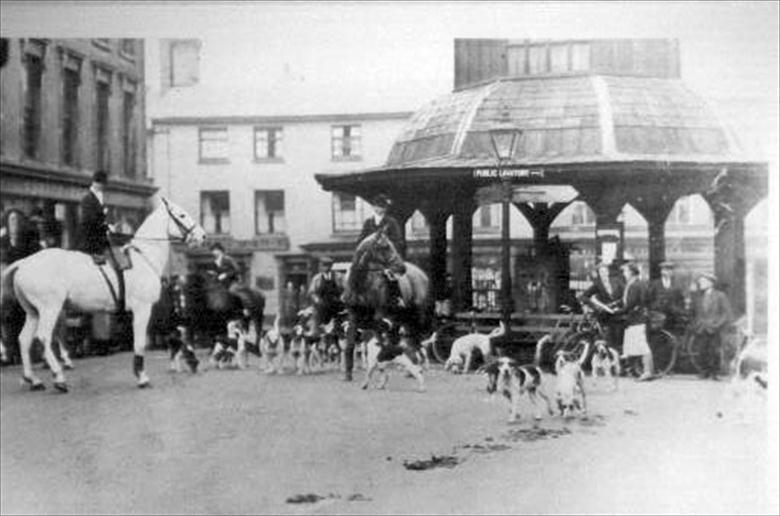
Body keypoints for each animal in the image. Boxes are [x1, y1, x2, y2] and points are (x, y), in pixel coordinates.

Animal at [0, 198, 206, 392]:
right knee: (43, 337)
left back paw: (33, 379)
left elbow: (172, 332)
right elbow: (141, 342)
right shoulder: (144, 309)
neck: (143, 259)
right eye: (181, 215)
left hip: (33, 312)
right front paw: (142, 376)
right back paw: (58, 377)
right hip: (50, 309)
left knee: (24, 339)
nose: (202, 235)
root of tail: (24, 262)